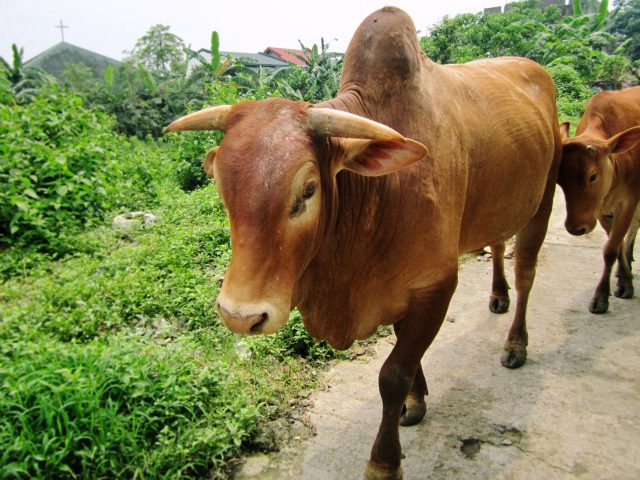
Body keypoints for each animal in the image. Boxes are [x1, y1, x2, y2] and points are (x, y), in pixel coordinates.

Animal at [164, 7, 560, 480]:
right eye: (222, 189)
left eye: (309, 189)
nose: (240, 316)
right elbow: (404, 355)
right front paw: (416, 402)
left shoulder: (436, 284)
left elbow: (393, 375)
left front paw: (384, 460)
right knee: (499, 245)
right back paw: (497, 297)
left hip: (543, 199)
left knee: (527, 272)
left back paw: (516, 343)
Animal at [556, 85, 640, 316]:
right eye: (559, 180)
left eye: (593, 176)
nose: (576, 228)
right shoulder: (601, 209)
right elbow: (615, 245)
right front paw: (624, 279)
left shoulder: (628, 202)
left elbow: (611, 249)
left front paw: (603, 297)